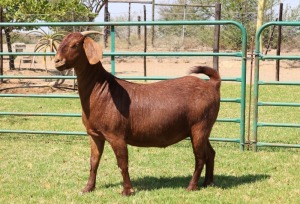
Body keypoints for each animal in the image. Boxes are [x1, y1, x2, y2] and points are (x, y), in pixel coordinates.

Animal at [54, 31, 220, 196]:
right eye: (61, 42)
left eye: (75, 45)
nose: (57, 61)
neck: (101, 91)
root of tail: (212, 84)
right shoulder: (94, 135)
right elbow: (94, 161)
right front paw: (88, 188)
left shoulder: (116, 135)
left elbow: (122, 163)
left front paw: (127, 190)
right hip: (203, 129)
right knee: (210, 153)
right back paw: (208, 182)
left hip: (199, 126)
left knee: (200, 157)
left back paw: (192, 186)